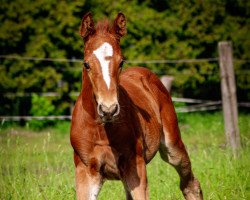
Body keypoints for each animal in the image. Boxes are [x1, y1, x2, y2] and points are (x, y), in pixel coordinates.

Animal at [70, 12, 203, 200]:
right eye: (86, 64)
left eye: (121, 62)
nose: (108, 110)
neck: (101, 130)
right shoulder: (85, 170)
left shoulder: (135, 166)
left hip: (172, 146)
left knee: (190, 183)